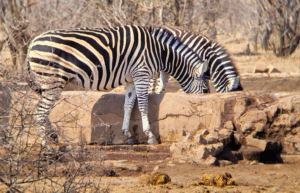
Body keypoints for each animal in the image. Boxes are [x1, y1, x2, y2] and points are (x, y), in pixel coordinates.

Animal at [27, 24, 207, 146]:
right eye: (204, 89)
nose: (201, 103)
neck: (158, 51)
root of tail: (32, 43)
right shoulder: (142, 74)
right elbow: (143, 105)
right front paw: (150, 136)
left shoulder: (132, 80)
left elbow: (128, 105)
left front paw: (128, 135)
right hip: (53, 81)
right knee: (40, 113)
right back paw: (48, 147)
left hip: (47, 83)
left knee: (41, 111)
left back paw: (53, 138)